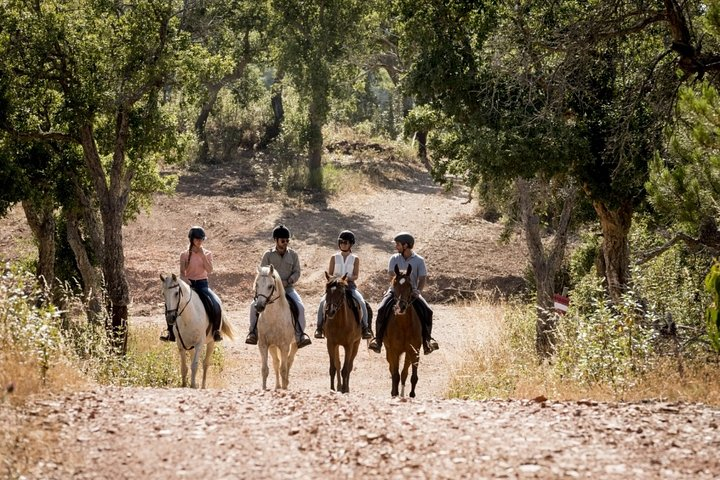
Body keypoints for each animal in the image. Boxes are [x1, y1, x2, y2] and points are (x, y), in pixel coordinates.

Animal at [253, 264, 298, 392]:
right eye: (257, 284)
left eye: (270, 286)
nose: (259, 306)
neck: (273, 318)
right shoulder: (263, 345)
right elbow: (265, 369)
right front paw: (264, 389)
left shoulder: (284, 346)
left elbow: (283, 369)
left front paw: (284, 388)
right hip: (273, 347)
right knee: (276, 363)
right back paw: (278, 385)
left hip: (294, 344)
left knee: (289, 361)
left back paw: (285, 383)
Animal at [382, 264, 422, 396]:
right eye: (394, 284)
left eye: (409, 285)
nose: (401, 307)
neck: (404, 325)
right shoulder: (394, 351)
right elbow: (395, 375)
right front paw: (394, 393)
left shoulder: (415, 351)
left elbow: (412, 376)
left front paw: (411, 395)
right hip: (389, 350)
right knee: (393, 369)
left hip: (408, 353)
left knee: (404, 372)